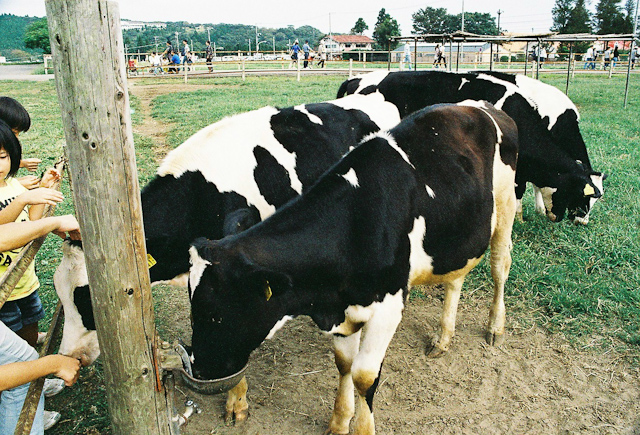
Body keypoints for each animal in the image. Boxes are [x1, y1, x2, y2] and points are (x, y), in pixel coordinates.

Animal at [187, 102, 518, 435]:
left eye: (216, 313)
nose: (199, 369)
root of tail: (482, 107)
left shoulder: (388, 308)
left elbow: (364, 377)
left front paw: (361, 426)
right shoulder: (342, 307)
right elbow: (344, 364)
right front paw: (339, 420)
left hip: (506, 205)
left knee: (500, 265)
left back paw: (494, 327)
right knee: (455, 280)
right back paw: (443, 338)